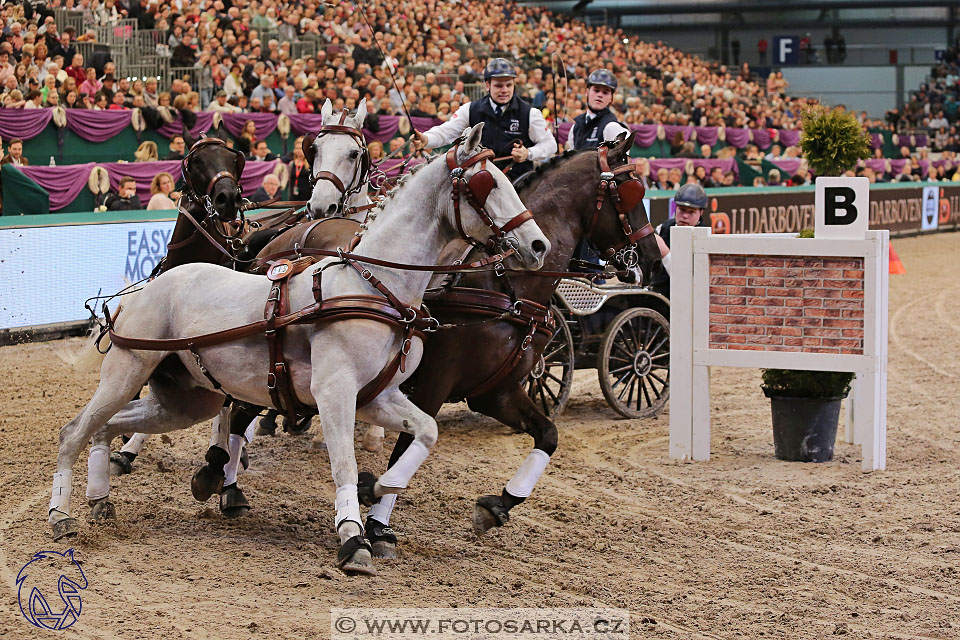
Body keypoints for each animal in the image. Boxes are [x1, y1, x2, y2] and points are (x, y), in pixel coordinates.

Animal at [50, 124, 548, 576]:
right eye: (487, 186)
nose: (539, 245)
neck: (374, 286)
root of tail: (146, 287)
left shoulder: (379, 397)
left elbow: (426, 432)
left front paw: (379, 488)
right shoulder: (335, 392)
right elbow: (344, 465)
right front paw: (354, 537)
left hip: (186, 399)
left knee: (109, 425)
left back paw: (100, 499)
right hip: (127, 372)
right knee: (75, 430)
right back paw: (61, 515)